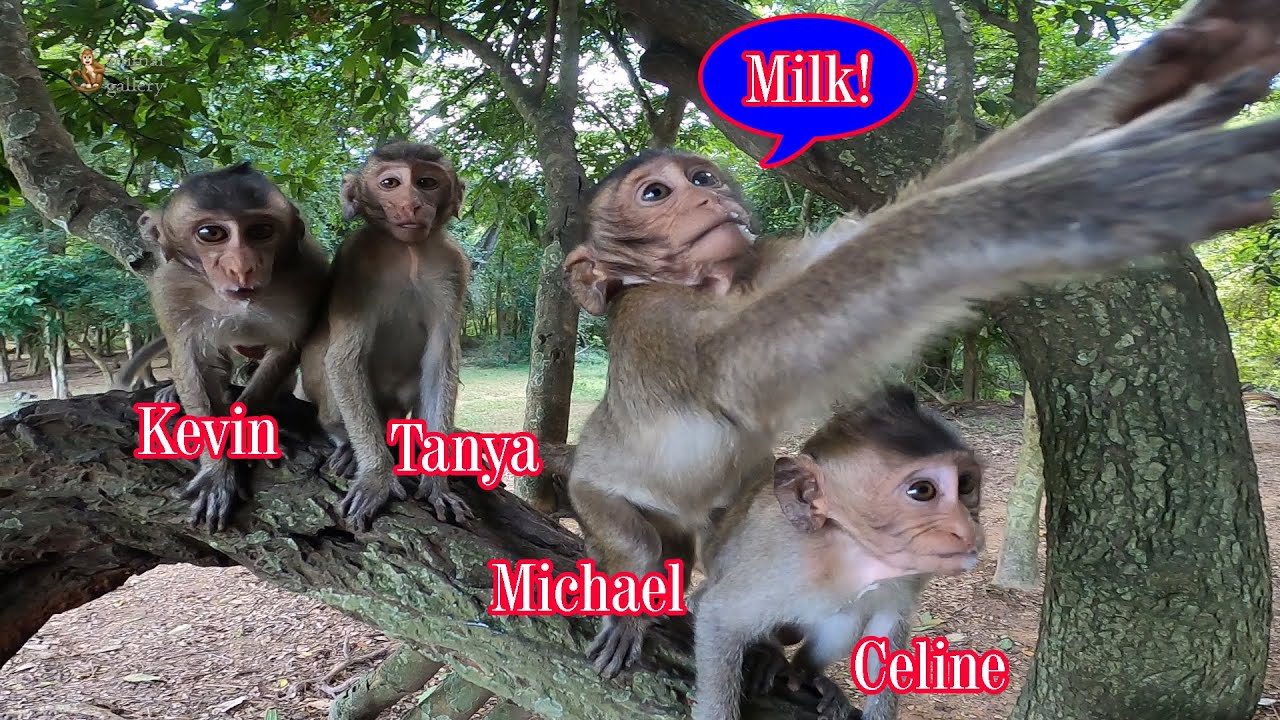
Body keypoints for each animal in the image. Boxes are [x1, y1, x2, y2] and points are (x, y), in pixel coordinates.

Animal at [139, 162, 330, 531]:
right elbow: (194, 360)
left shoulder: (310, 273)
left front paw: (248, 435)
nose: (242, 266)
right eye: (211, 233)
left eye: (261, 231)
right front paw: (218, 470)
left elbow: (285, 349)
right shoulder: (171, 287)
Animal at [299, 141, 473, 532]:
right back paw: (346, 444)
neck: (408, 250)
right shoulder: (354, 259)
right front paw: (377, 476)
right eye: (391, 183)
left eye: (426, 182)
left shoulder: (454, 266)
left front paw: (437, 482)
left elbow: (441, 363)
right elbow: (344, 358)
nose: (412, 203)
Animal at [563, 3, 1280, 679]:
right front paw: (1058, 201)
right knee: (637, 542)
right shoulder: (654, 319)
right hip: (598, 499)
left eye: (702, 179)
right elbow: (737, 366)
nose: (707, 202)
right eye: (657, 193)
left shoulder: (765, 261)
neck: (711, 284)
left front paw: (1169, 65)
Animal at [690, 386, 982, 720]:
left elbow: (886, 626)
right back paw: (768, 654)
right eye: (922, 491)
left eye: (966, 484)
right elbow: (717, 615)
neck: (852, 555)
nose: (967, 529)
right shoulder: (784, 563)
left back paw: (807, 673)